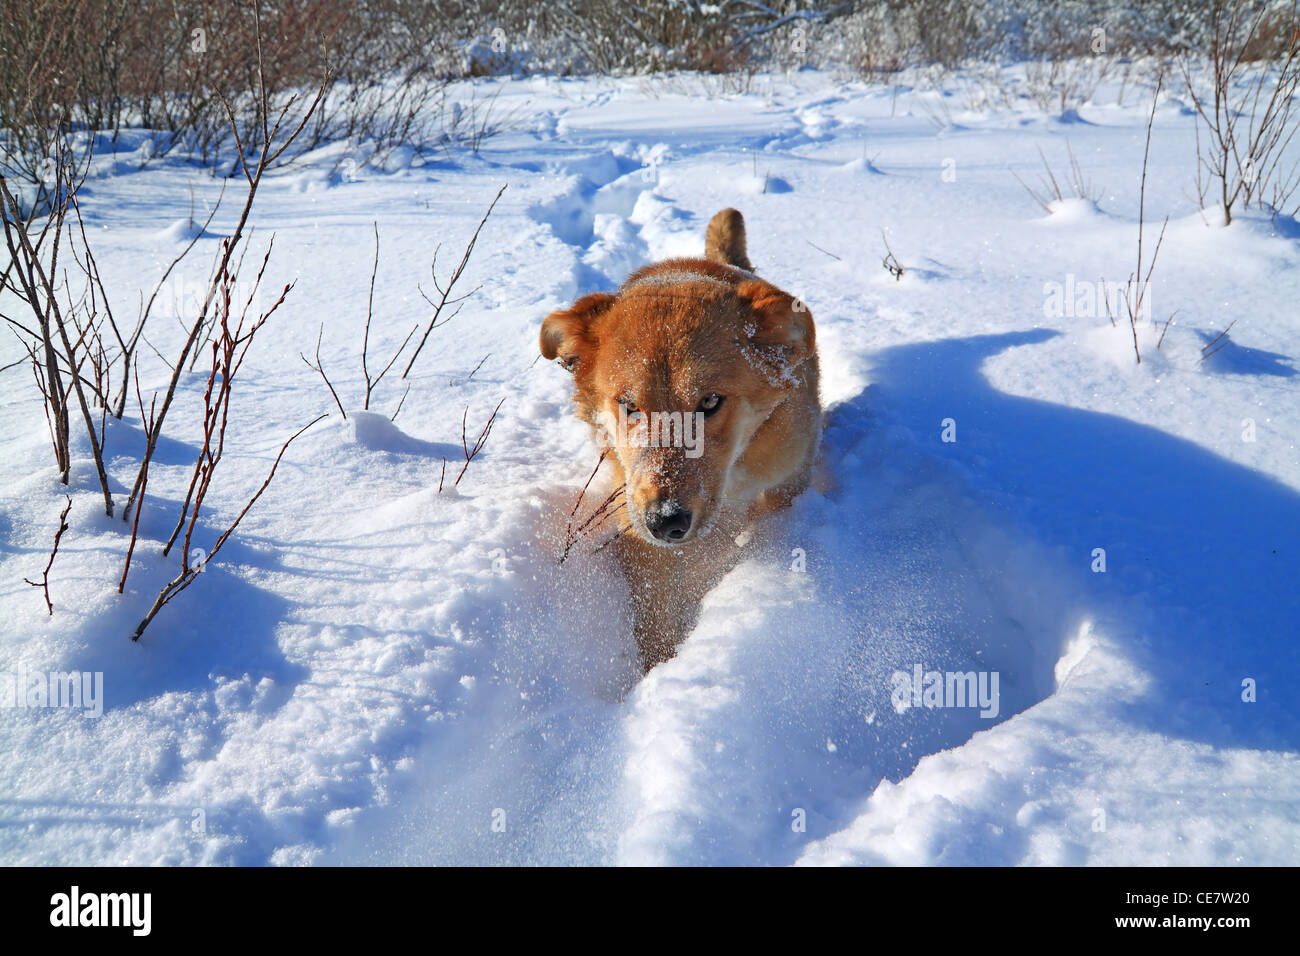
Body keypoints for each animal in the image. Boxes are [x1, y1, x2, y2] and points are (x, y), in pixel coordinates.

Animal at [543, 209, 816, 671]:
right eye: (629, 404)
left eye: (709, 401)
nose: (665, 521)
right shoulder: (635, 520)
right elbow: (654, 615)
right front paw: (658, 668)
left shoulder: (786, 476)